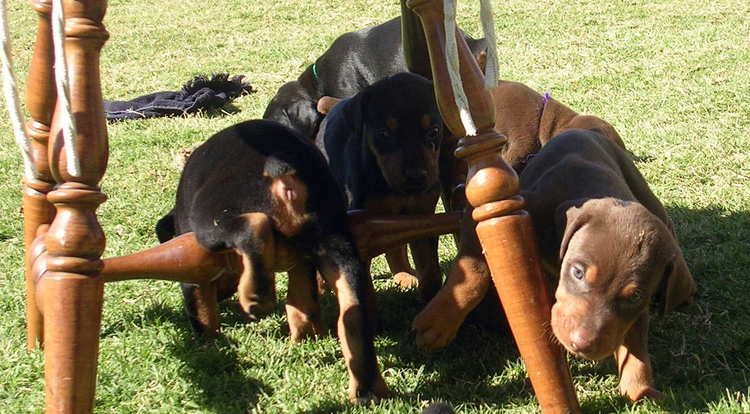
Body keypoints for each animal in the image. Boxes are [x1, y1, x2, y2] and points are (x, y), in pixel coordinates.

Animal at [153, 119, 388, 402]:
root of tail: (280, 167)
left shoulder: (194, 272)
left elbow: (202, 314)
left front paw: (207, 348)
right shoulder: (304, 260)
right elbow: (302, 305)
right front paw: (305, 339)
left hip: (210, 219)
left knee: (251, 228)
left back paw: (256, 296)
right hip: (337, 244)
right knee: (353, 318)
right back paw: (369, 389)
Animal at [314, 73, 444, 300]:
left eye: (434, 131)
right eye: (383, 134)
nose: (416, 177)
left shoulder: (423, 216)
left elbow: (429, 270)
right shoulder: (362, 227)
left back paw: (404, 275)